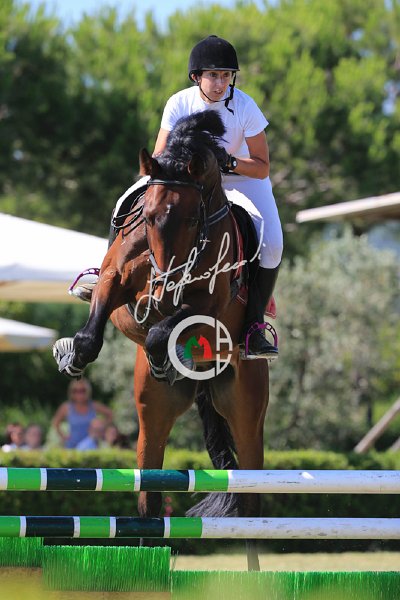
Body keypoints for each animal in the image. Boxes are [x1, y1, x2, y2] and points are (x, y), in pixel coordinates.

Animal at [53, 111, 269, 570]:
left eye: (191, 219)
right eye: (148, 217)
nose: (165, 283)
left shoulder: (205, 306)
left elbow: (159, 330)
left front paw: (162, 352)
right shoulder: (114, 278)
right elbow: (94, 331)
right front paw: (71, 356)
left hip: (246, 409)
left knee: (250, 503)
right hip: (153, 416)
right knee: (149, 502)